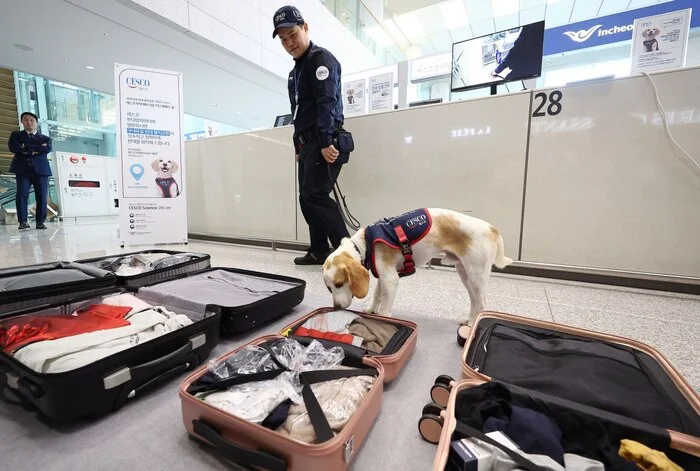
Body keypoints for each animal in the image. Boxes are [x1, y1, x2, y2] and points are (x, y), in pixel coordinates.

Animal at [322, 208, 516, 326]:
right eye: (329, 289)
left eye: (339, 284)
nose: (336, 308)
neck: (365, 244)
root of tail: (491, 228)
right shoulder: (383, 277)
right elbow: (377, 295)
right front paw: (372, 309)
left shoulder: (391, 279)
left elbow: (385, 308)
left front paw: (384, 318)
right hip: (465, 275)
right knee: (475, 301)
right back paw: (468, 321)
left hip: (475, 276)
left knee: (482, 304)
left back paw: (472, 324)